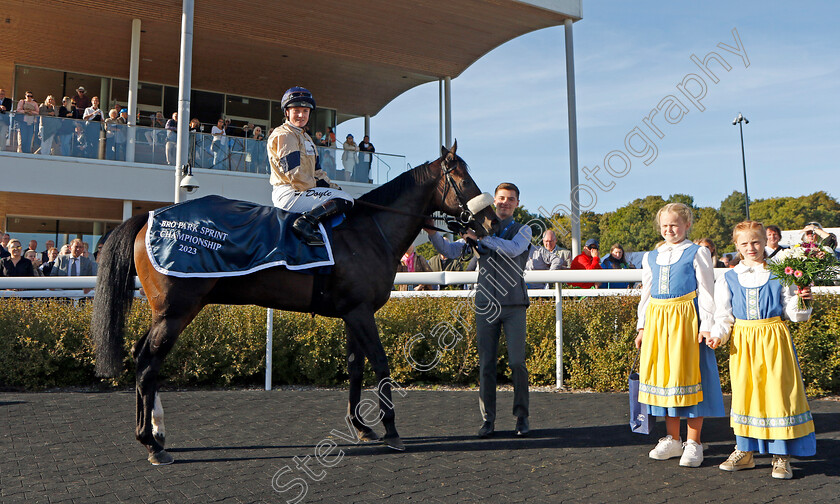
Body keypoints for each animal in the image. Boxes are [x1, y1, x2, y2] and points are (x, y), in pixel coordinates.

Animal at [92, 142, 498, 464]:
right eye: (463, 179)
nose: (492, 221)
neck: (368, 231)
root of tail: (149, 216)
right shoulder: (361, 312)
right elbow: (380, 364)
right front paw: (391, 430)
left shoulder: (352, 312)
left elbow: (355, 368)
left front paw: (362, 427)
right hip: (176, 310)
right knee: (148, 364)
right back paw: (151, 443)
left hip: (168, 312)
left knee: (142, 356)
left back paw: (157, 434)